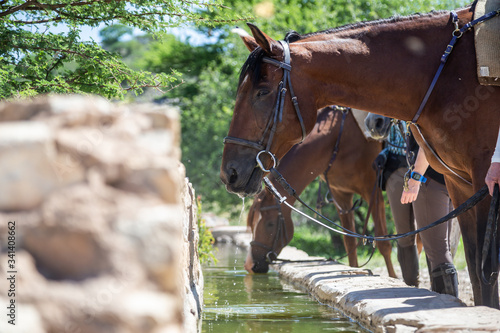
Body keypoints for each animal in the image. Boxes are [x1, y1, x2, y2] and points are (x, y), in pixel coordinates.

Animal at [244, 106, 396, 278]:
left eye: (270, 224)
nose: (250, 265)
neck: (338, 139)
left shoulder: (372, 192)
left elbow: (384, 245)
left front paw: (394, 278)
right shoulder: (341, 197)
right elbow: (350, 243)